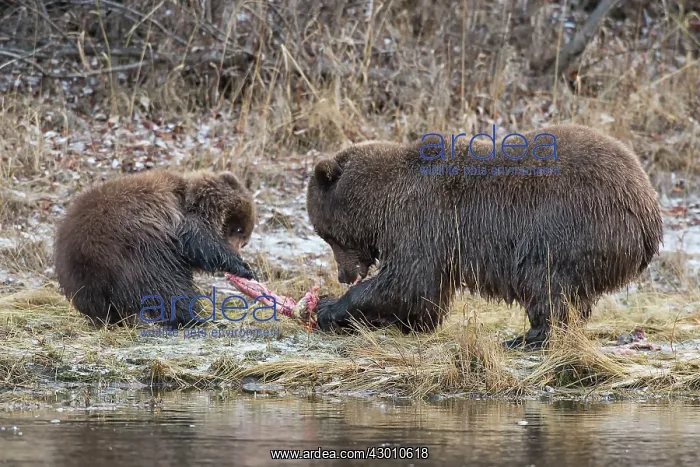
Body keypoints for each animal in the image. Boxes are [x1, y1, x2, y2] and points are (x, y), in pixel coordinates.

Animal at [53, 169, 256, 327]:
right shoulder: (183, 225)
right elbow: (204, 246)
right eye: (239, 230)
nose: (240, 251)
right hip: (137, 254)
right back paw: (198, 319)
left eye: (244, 238)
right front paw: (243, 267)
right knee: (167, 287)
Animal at [306, 124, 663, 349]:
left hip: (570, 225)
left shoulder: (423, 221)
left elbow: (408, 282)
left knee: (545, 281)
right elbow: (422, 301)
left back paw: (528, 338)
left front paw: (329, 307)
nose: (343, 275)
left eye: (327, 234)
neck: (381, 203)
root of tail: (649, 209)